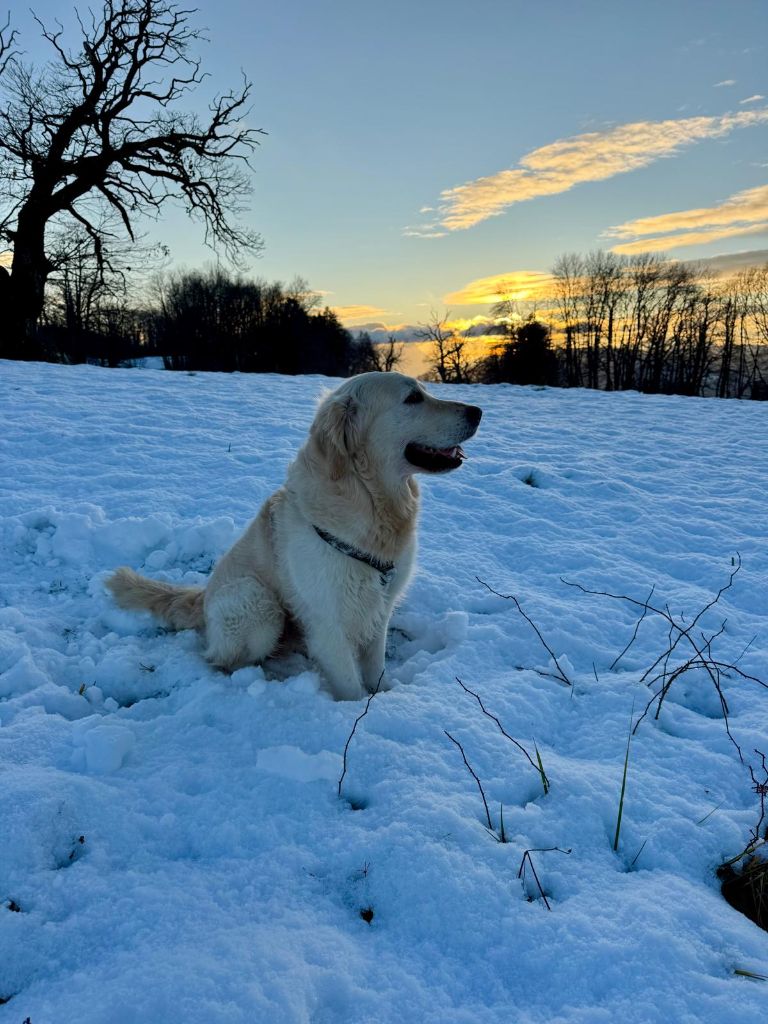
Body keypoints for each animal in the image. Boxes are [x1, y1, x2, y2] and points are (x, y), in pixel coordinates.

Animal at [108, 372, 481, 700]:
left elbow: (376, 669)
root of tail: (202, 596)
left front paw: (385, 695)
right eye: (412, 398)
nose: (477, 412)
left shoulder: (380, 607)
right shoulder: (328, 621)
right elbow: (350, 684)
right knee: (221, 660)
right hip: (259, 604)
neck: (369, 501)